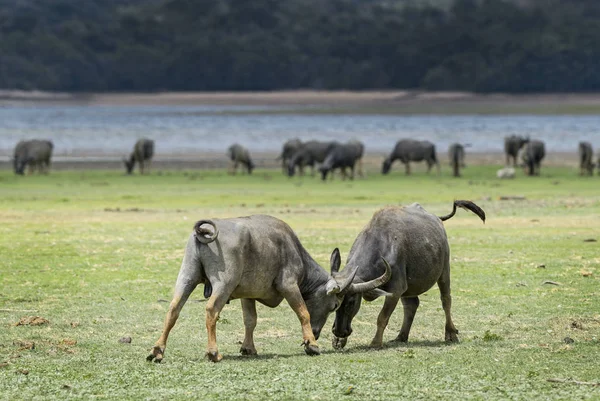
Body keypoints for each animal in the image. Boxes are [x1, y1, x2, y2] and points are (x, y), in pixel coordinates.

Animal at [147, 216, 392, 362]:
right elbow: (303, 312)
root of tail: (205, 232)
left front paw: (248, 348)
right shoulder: (289, 285)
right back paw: (213, 352)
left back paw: (157, 350)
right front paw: (311, 345)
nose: (316, 333)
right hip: (223, 284)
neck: (292, 248)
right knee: (211, 311)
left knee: (173, 310)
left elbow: (250, 320)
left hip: (186, 277)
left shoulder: (247, 295)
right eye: (334, 305)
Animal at [330, 202, 486, 348]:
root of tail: (437, 218)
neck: (383, 244)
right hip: (410, 287)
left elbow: (382, 317)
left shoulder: (395, 290)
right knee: (411, 304)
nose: (339, 332)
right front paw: (338, 341)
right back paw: (401, 336)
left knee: (446, 300)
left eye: (351, 302)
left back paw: (451, 333)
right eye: (335, 305)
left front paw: (375, 342)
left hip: (444, 271)